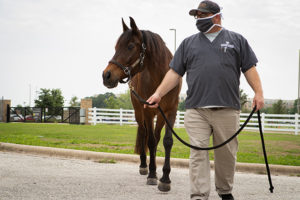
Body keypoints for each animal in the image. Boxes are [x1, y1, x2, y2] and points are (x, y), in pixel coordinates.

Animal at [102, 16, 182, 191]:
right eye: (116, 46)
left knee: (156, 137)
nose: (106, 75)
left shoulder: (170, 111)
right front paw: (152, 174)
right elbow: (150, 141)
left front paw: (165, 178)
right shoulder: (147, 111)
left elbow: (166, 141)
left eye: (131, 46)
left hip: (160, 115)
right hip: (139, 113)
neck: (162, 79)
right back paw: (145, 166)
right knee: (144, 133)